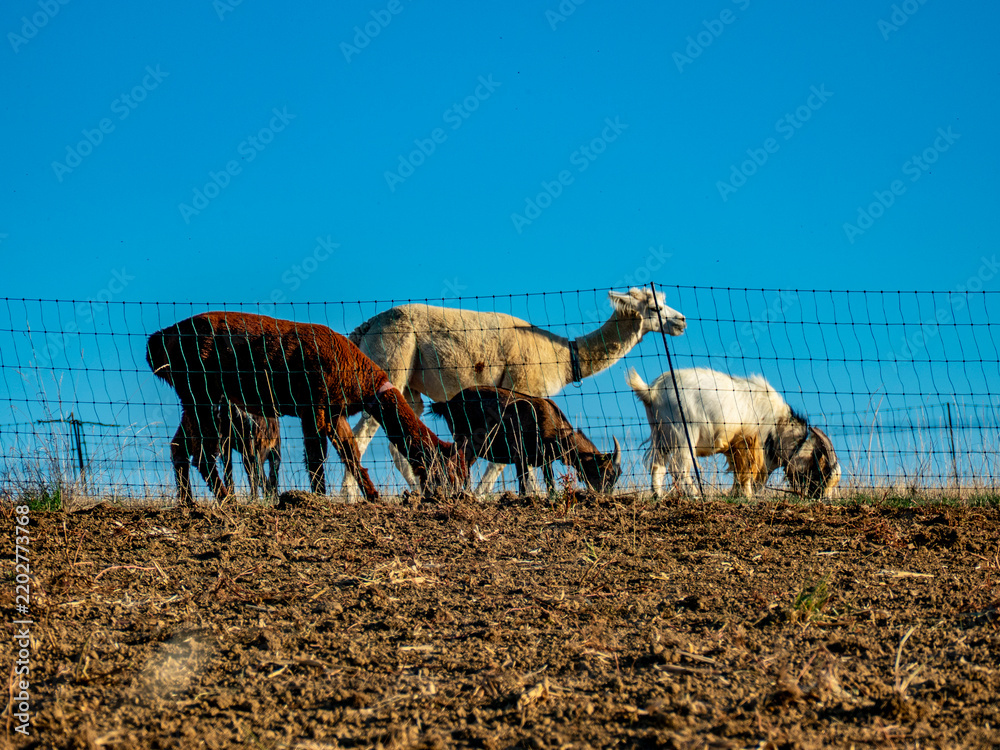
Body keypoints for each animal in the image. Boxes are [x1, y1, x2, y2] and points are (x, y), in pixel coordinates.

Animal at [147, 311, 468, 505]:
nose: (456, 496)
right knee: (201, 453)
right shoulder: (313, 404)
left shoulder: (334, 412)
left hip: (193, 396)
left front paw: (372, 496)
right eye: (451, 470)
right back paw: (226, 500)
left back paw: (188, 503)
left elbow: (350, 453)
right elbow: (316, 457)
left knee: (179, 446)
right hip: (200, 391)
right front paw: (319, 499)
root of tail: (159, 339)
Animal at [431, 386, 622, 496]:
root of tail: (447, 404)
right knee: (458, 464)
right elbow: (523, 484)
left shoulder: (544, 460)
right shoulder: (519, 455)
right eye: (608, 473)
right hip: (467, 442)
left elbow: (550, 483)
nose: (606, 495)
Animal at [627, 367, 840, 498]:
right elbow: (746, 472)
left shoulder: (736, 445)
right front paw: (747, 496)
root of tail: (652, 391)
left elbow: (740, 473)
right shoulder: (748, 442)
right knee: (679, 468)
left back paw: (659, 495)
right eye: (821, 470)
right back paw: (696, 495)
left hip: (661, 435)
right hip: (684, 434)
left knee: (657, 465)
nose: (822, 498)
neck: (778, 425)